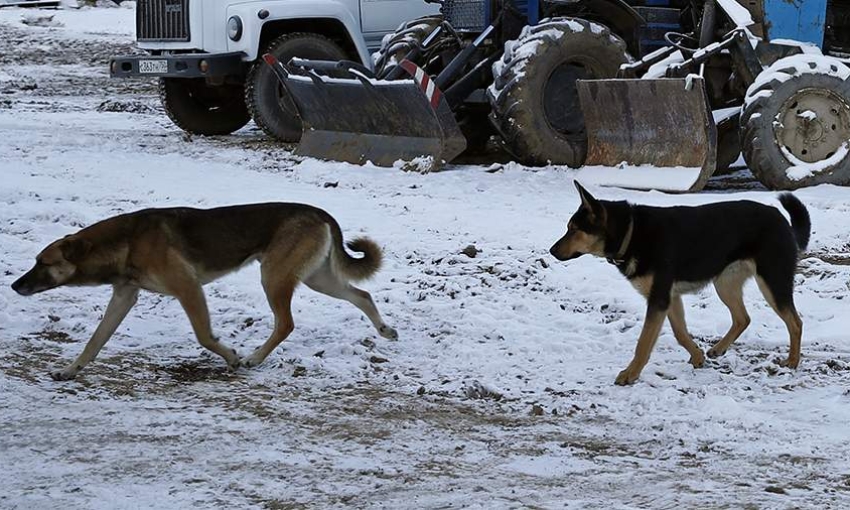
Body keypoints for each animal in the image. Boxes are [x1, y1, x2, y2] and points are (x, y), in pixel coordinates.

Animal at [12, 202, 398, 378]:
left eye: (43, 262)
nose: (15, 285)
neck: (126, 243)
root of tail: (319, 212)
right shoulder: (124, 296)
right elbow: (95, 341)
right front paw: (70, 370)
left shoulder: (188, 288)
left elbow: (204, 336)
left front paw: (231, 356)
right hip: (317, 278)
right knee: (362, 295)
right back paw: (385, 329)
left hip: (273, 276)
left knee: (285, 324)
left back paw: (254, 358)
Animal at [548, 181, 808, 384]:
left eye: (573, 229)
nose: (551, 251)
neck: (631, 233)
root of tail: (783, 221)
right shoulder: (669, 297)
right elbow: (679, 333)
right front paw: (698, 356)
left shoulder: (659, 299)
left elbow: (643, 342)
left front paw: (630, 374)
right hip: (725, 283)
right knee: (743, 318)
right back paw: (718, 348)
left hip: (772, 281)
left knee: (795, 322)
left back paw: (792, 361)